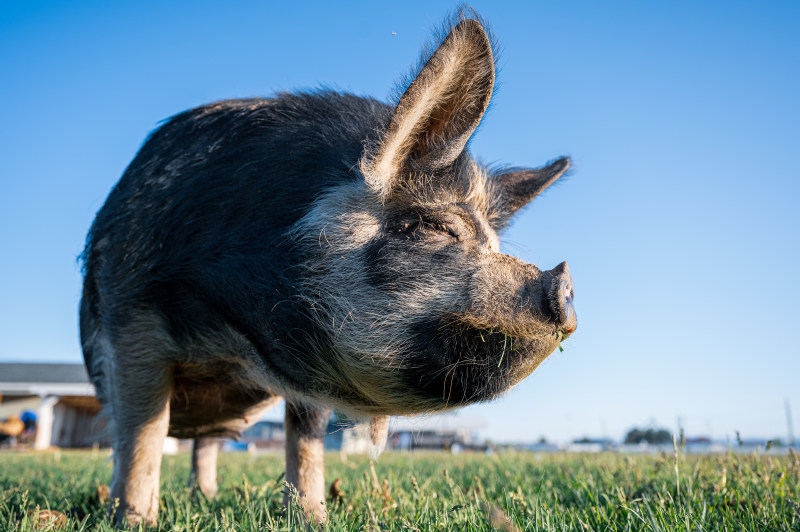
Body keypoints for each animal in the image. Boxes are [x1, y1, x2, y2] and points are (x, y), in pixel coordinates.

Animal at [79, 9, 576, 528]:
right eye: (438, 227)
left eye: (493, 243)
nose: (563, 284)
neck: (237, 342)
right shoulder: (129, 315)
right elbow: (143, 430)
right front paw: (133, 521)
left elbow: (306, 439)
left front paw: (313, 519)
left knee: (208, 446)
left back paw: (207, 496)